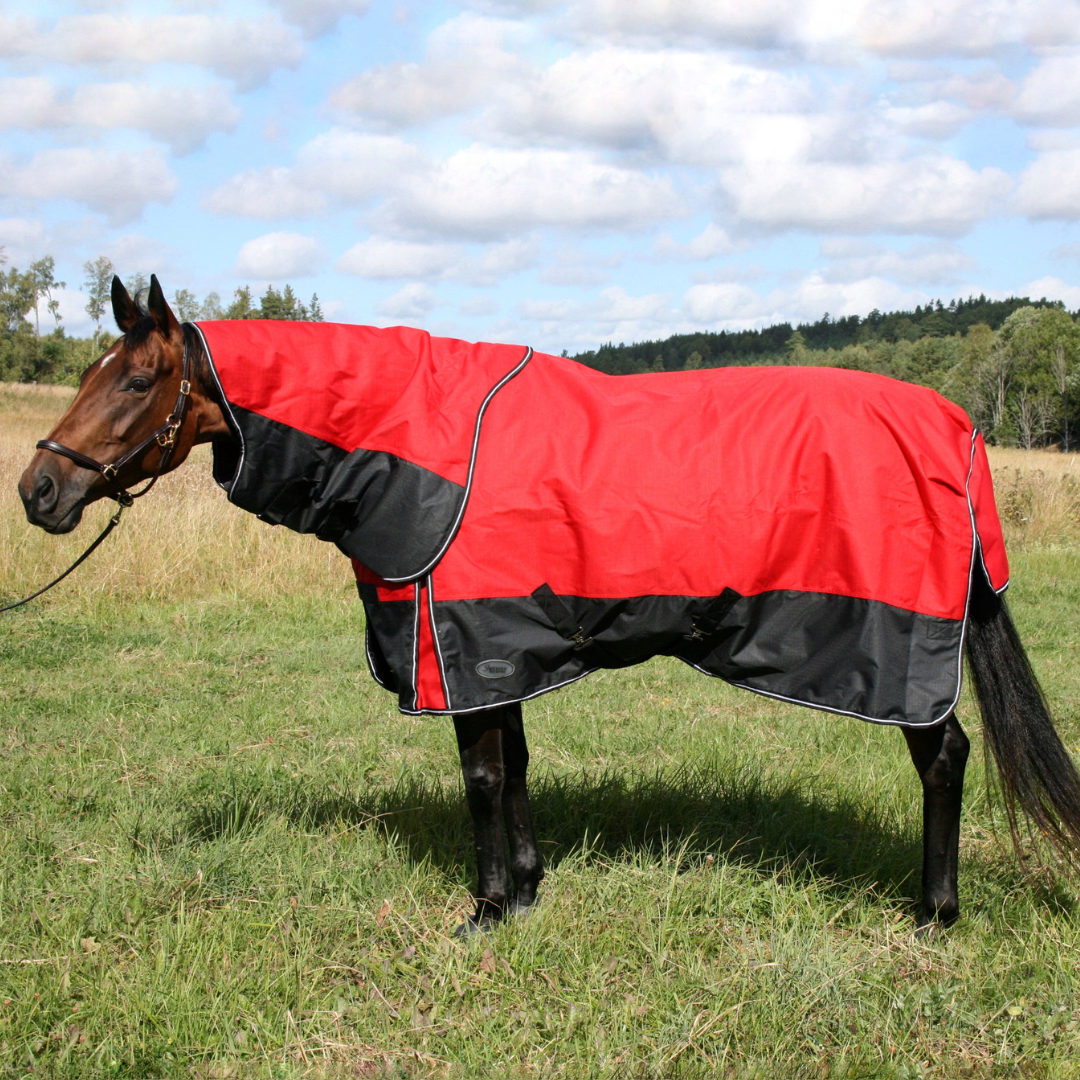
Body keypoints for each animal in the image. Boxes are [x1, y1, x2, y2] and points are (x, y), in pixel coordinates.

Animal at [17, 275, 1080, 935]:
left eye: (139, 378)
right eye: (92, 372)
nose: (39, 491)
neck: (418, 441)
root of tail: (953, 422)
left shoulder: (462, 641)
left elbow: (484, 778)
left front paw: (486, 910)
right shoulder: (499, 646)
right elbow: (517, 767)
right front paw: (526, 894)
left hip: (901, 649)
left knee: (945, 755)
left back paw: (935, 914)